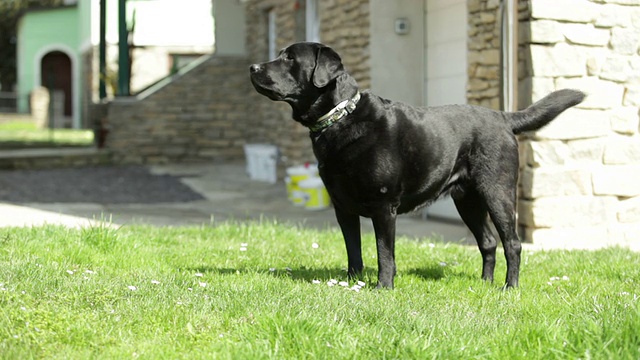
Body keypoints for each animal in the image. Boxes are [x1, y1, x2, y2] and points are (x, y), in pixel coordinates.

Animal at [249, 41, 584, 290]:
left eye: (290, 58)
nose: (253, 67)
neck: (340, 117)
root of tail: (503, 116)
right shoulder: (342, 207)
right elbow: (353, 250)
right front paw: (352, 283)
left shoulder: (384, 206)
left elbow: (385, 253)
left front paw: (383, 288)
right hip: (467, 200)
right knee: (488, 242)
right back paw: (484, 284)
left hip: (497, 192)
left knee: (512, 243)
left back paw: (509, 288)